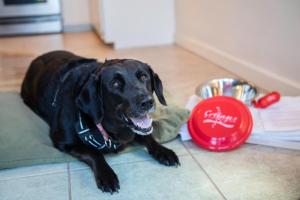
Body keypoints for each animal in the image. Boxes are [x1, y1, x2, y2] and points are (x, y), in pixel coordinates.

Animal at [21, 50, 180, 193]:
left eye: (143, 77)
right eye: (115, 84)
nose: (147, 102)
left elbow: (148, 137)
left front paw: (163, 151)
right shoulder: (64, 142)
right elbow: (94, 153)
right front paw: (107, 175)